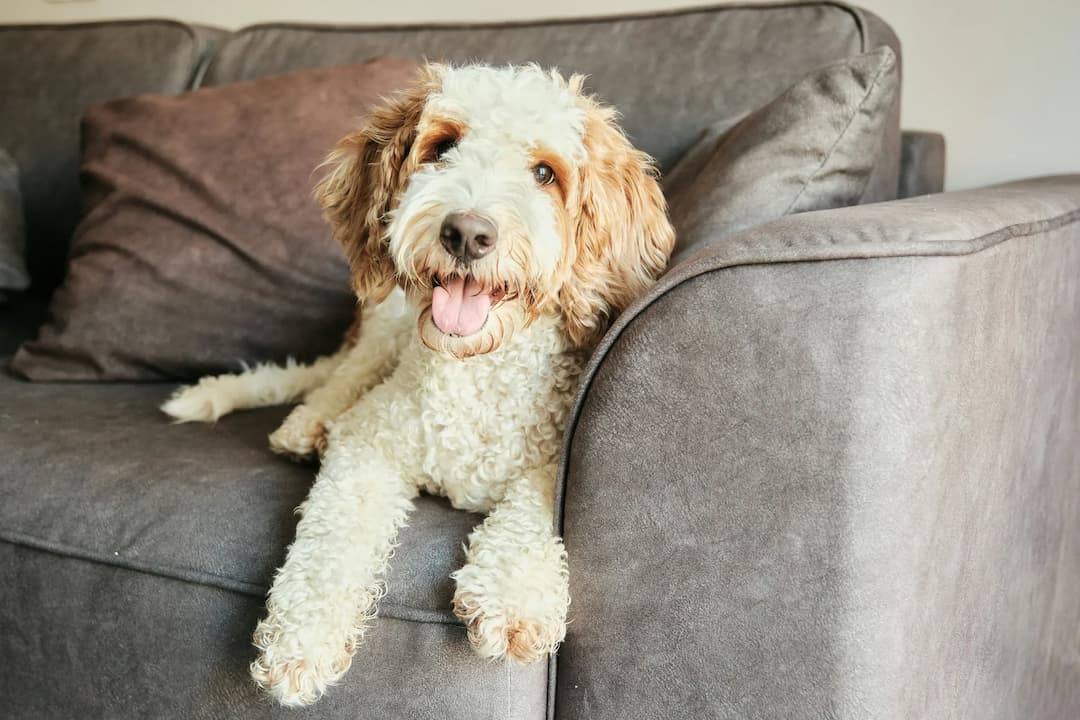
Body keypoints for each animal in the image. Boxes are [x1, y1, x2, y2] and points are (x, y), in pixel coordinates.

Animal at [160, 64, 673, 708]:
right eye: (442, 147)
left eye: (545, 173)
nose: (467, 233)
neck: (475, 369)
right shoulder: (370, 440)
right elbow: (332, 531)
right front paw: (302, 639)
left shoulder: (556, 455)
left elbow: (534, 504)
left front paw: (511, 595)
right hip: (384, 325)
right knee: (337, 378)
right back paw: (307, 426)